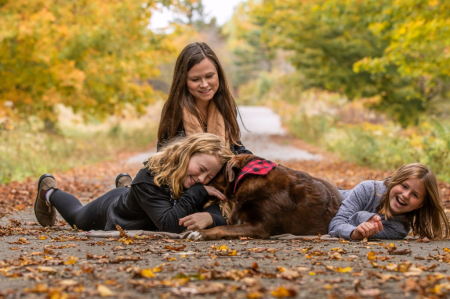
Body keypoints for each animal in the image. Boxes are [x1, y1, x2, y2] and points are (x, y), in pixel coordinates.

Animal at [192, 155, 342, 241]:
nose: (200, 181)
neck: (250, 176)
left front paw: (201, 233)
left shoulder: (260, 226)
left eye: (215, 173)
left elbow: (223, 228)